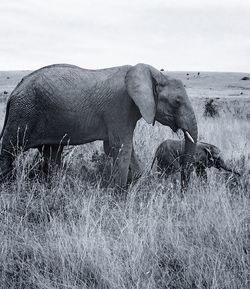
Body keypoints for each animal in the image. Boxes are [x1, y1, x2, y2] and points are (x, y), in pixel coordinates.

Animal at [0, 63, 198, 187]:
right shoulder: (120, 108)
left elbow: (116, 147)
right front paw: (120, 196)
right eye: (177, 102)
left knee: (51, 153)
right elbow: (121, 147)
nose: (183, 191)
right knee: (9, 150)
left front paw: (135, 183)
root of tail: (15, 91)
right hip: (24, 113)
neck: (152, 72)